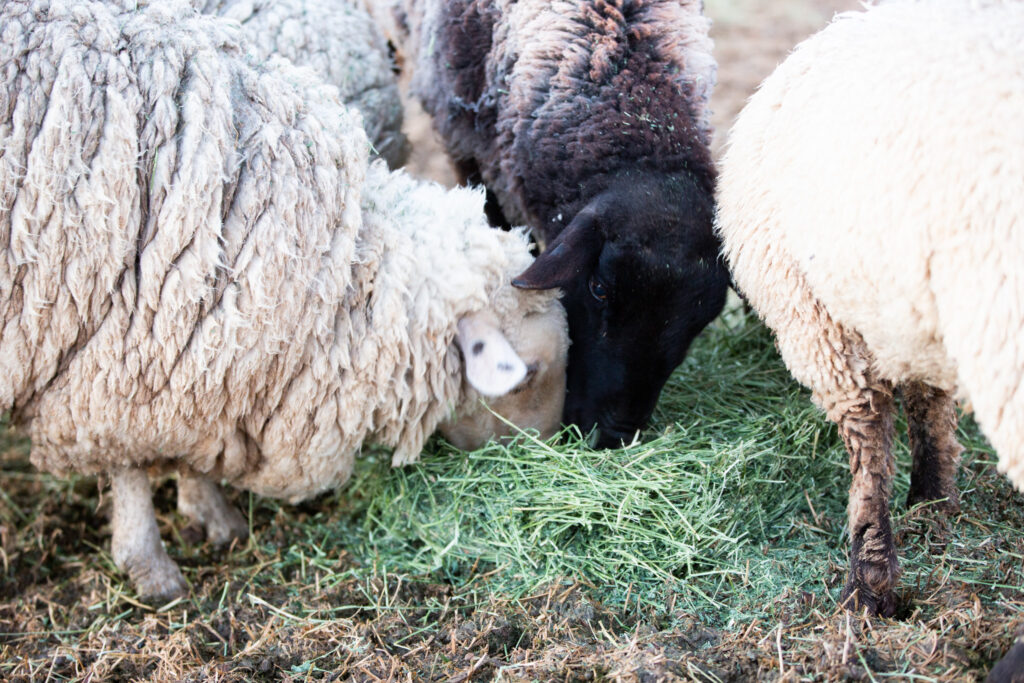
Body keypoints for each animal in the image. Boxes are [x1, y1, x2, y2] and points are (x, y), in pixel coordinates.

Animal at [712, 0, 1024, 663]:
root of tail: (845, 26)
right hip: (849, 315)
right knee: (891, 425)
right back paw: (904, 540)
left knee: (891, 425)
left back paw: (888, 559)